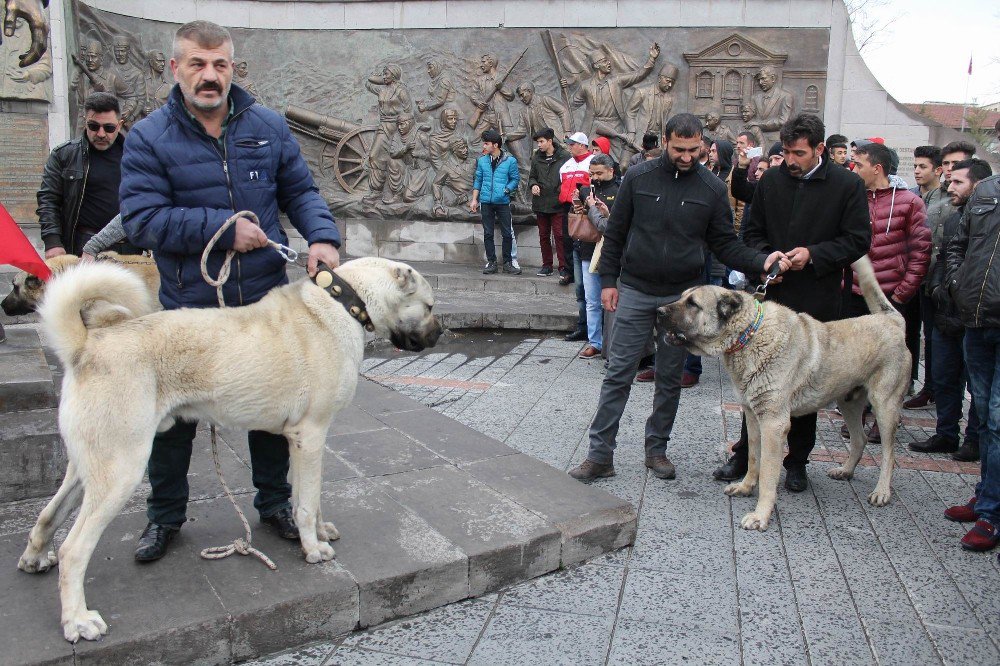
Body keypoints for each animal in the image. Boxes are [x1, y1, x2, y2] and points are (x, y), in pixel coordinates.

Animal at [660, 256, 912, 532]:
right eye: (682, 297)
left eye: (692, 304)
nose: (658, 312)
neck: (749, 335)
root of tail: (892, 321)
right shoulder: (753, 416)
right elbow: (753, 458)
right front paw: (746, 487)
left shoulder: (773, 424)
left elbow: (768, 474)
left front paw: (760, 515)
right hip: (848, 403)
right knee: (859, 439)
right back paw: (845, 470)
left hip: (885, 406)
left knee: (889, 454)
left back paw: (882, 491)